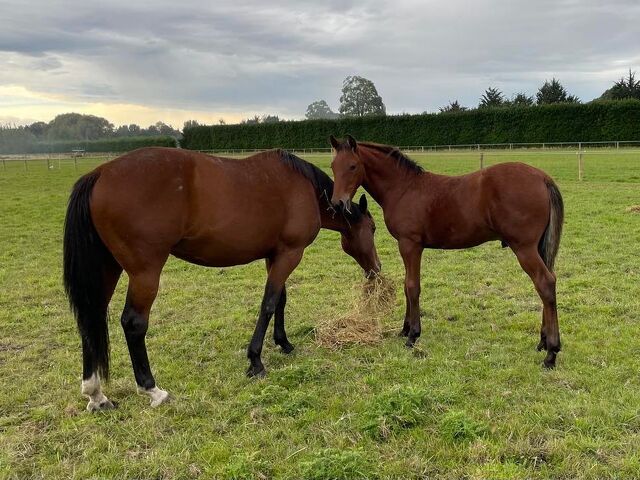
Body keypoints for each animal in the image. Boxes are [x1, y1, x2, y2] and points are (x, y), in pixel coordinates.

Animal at [63, 147, 380, 411]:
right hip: (145, 273)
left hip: (107, 269)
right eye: (374, 228)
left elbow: (280, 299)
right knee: (133, 323)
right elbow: (269, 303)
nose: (376, 269)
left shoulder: (276, 255)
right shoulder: (290, 254)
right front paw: (256, 361)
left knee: (91, 319)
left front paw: (284, 343)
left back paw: (96, 395)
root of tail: (99, 173)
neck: (306, 189)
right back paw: (152, 390)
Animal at [329, 135, 564, 368]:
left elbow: (412, 287)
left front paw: (413, 335)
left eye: (353, 166)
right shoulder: (407, 246)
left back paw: (551, 353)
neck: (403, 189)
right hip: (537, 247)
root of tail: (543, 178)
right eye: (333, 166)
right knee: (547, 282)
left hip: (524, 248)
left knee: (545, 282)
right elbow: (406, 285)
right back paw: (543, 342)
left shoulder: (410, 244)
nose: (337, 204)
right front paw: (404, 329)